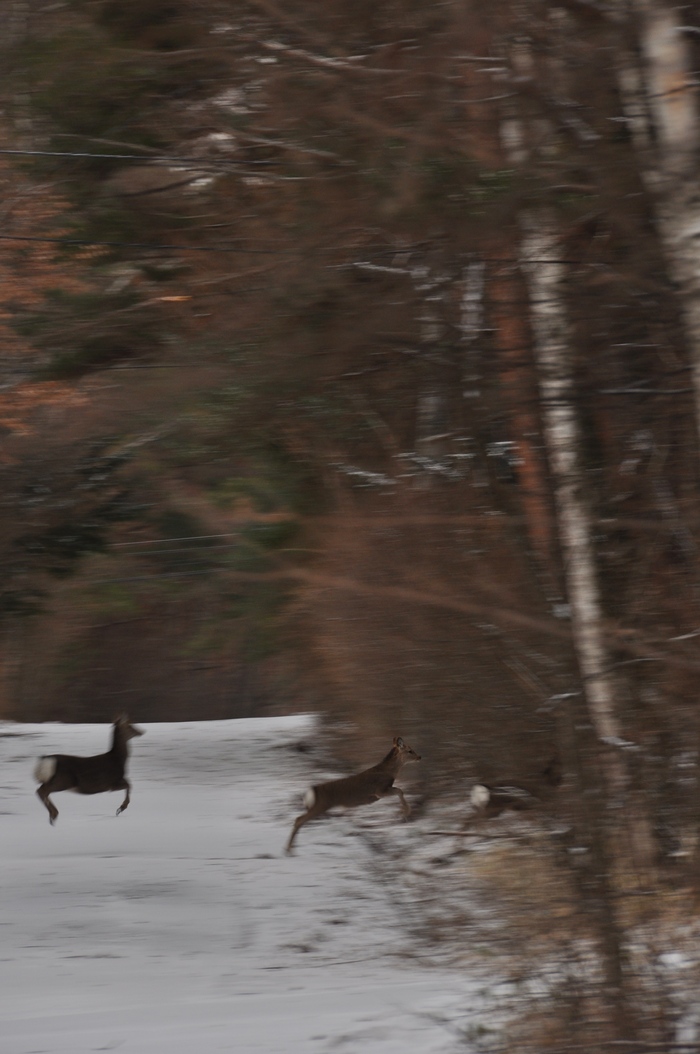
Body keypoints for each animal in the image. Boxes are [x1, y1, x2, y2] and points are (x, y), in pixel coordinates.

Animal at [284, 737, 421, 851]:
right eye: (410, 750)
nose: (419, 757)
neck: (389, 772)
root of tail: (313, 790)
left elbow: (399, 790)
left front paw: (404, 812)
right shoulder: (379, 790)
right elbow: (400, 790)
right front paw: (405, 812)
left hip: (319, 805)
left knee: (299, 819)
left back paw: (290, 848)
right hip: (321, 805)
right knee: (299, 819)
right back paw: (289, 850)